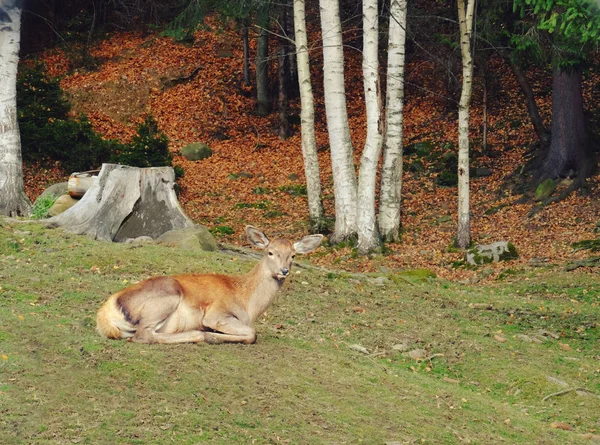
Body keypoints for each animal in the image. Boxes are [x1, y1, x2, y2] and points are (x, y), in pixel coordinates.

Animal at [95, 225, 324, 344]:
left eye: (293, 255)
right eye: (270, 252)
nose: (284, 270)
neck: (247, 305)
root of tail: (105, 311)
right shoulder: (217, 314)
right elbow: (252, 334)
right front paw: (216, 335)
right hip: (166, 297)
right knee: (143, 335)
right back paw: (203, 335)